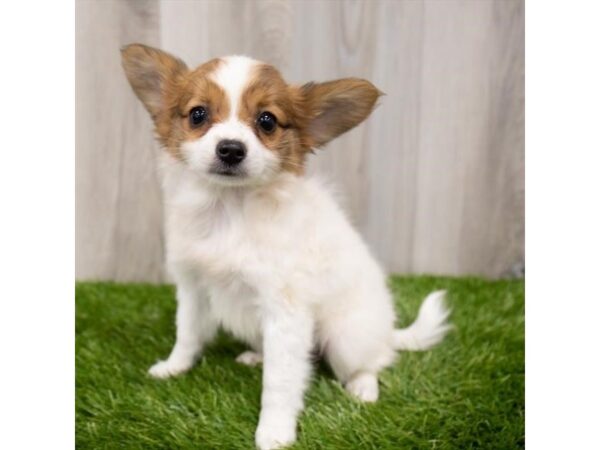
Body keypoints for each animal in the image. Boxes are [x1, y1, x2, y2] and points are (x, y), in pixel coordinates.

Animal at [122, 43, 450, 450]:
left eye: (267, 121)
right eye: (198, 114)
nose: (231, 149)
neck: (229, 210)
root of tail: (387, 331)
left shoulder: (286, 310)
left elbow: (280, 382)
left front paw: (275, 431)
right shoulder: (193, 286)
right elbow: (188, 333)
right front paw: (173, 367)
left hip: (345, 338)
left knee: (371, 363)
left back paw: (362, 388)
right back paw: (255, 356)